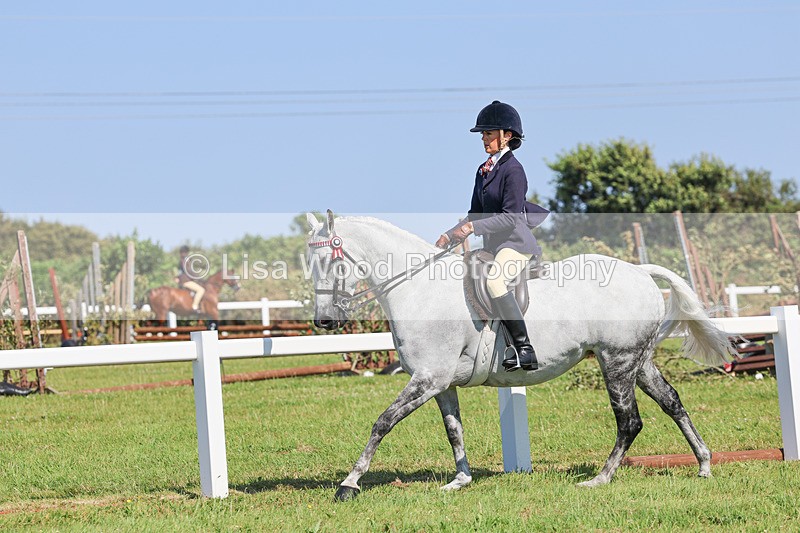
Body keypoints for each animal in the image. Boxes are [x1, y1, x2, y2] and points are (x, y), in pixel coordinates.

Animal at [304, 211, 736, 501]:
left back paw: (599, 479)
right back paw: (704, 464)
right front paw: (460, 480)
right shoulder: (440, 383)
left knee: (629, 422)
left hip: (616, 361)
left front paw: (348, 484)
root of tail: (640, 272)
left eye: (331, 262)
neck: (418, 289)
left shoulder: (427, 378)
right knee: (672, 403)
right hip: (639, 362)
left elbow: (382, 423)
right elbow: (453, 429)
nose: (324, 321)